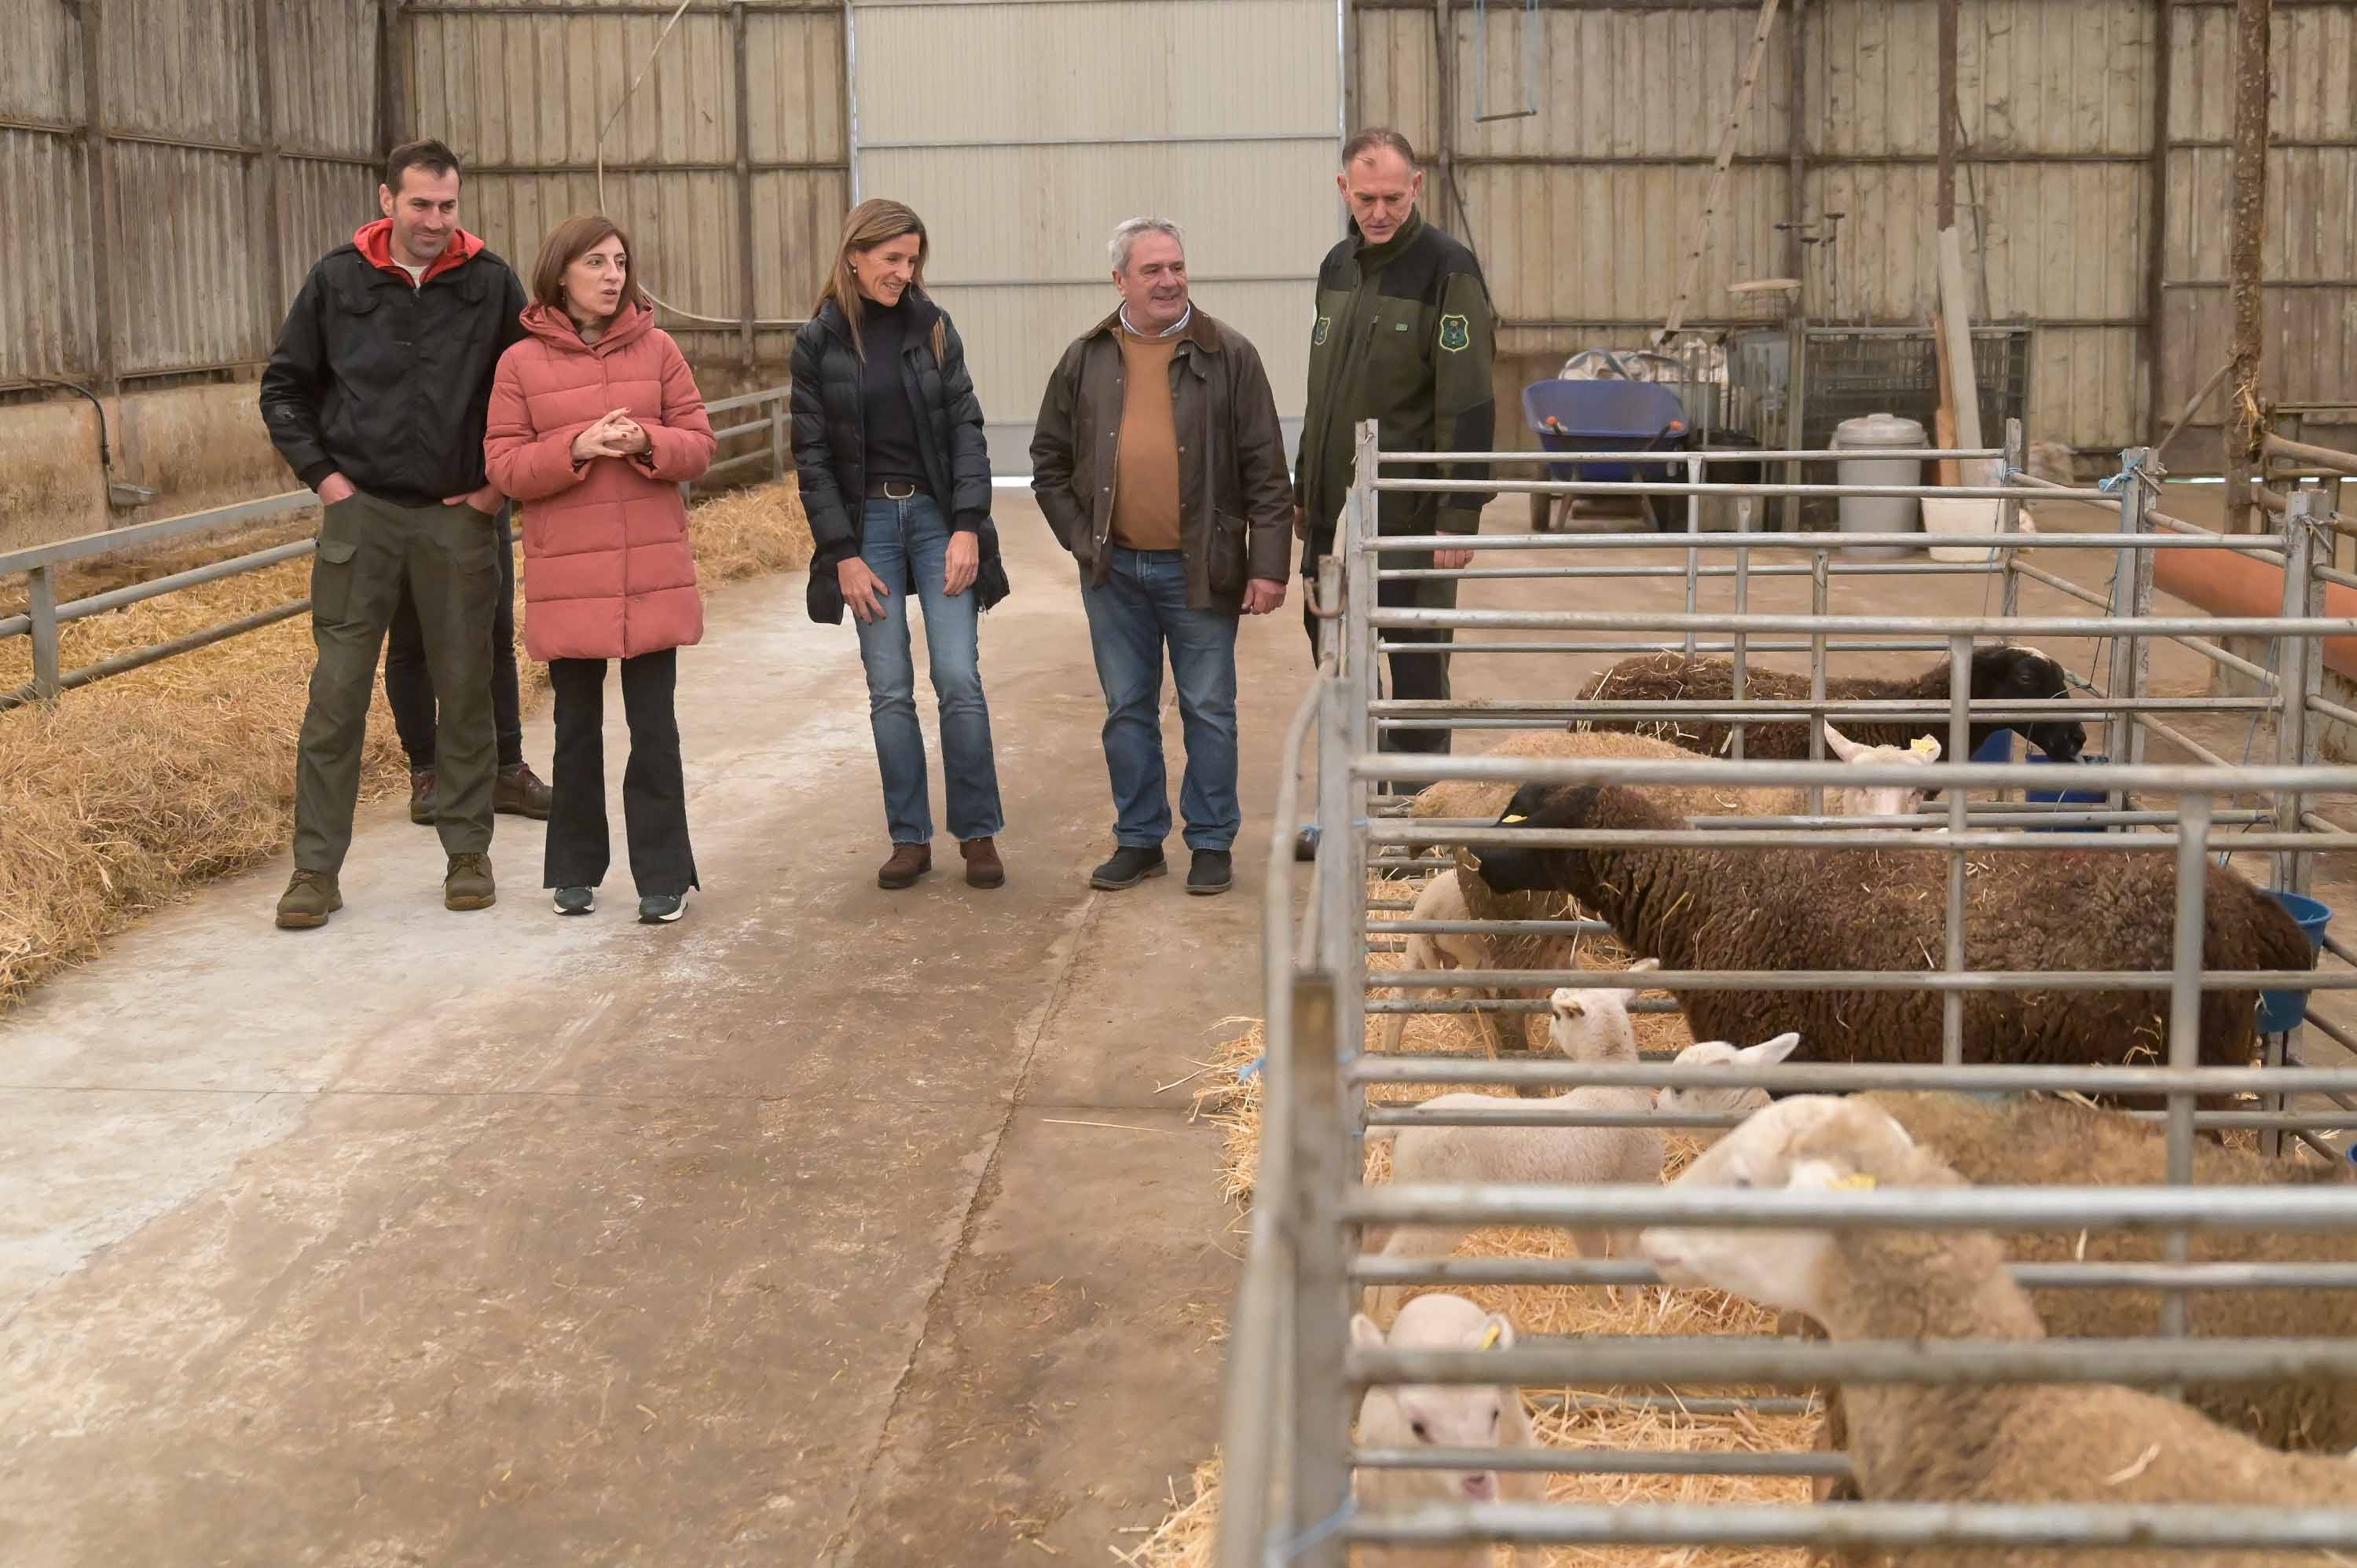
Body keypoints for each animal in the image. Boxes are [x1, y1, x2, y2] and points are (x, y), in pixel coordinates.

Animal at [1361, 974, 1664, 1321]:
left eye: (1557, 1015)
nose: (1549, 1028)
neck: (1617, 1090)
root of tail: (1405, 1123)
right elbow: (1626, 1259)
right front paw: (1632, 1313)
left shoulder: (1584, 1216)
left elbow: (1595, 1262)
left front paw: (1603, 1309)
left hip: (1409, 1189)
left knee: (1376, 1234)